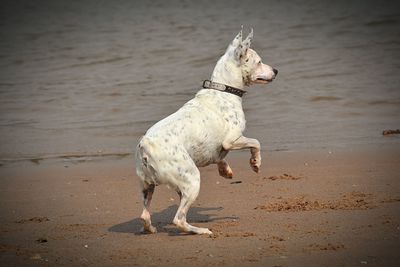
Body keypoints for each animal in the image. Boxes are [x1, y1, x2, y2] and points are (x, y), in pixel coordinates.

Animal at [136, 28, 276, 236]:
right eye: (259, 62)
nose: (276, 71)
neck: (224, 90)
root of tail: (145, 147)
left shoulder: (217, 148)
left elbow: (219, 157)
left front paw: (226, 171)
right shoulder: (232, 140)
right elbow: (256, 142)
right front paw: (255, 163)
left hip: (148, 186)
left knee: (145, 215)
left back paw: (151, 228)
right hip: (192, 181)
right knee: (179, 219)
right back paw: (200, 231)